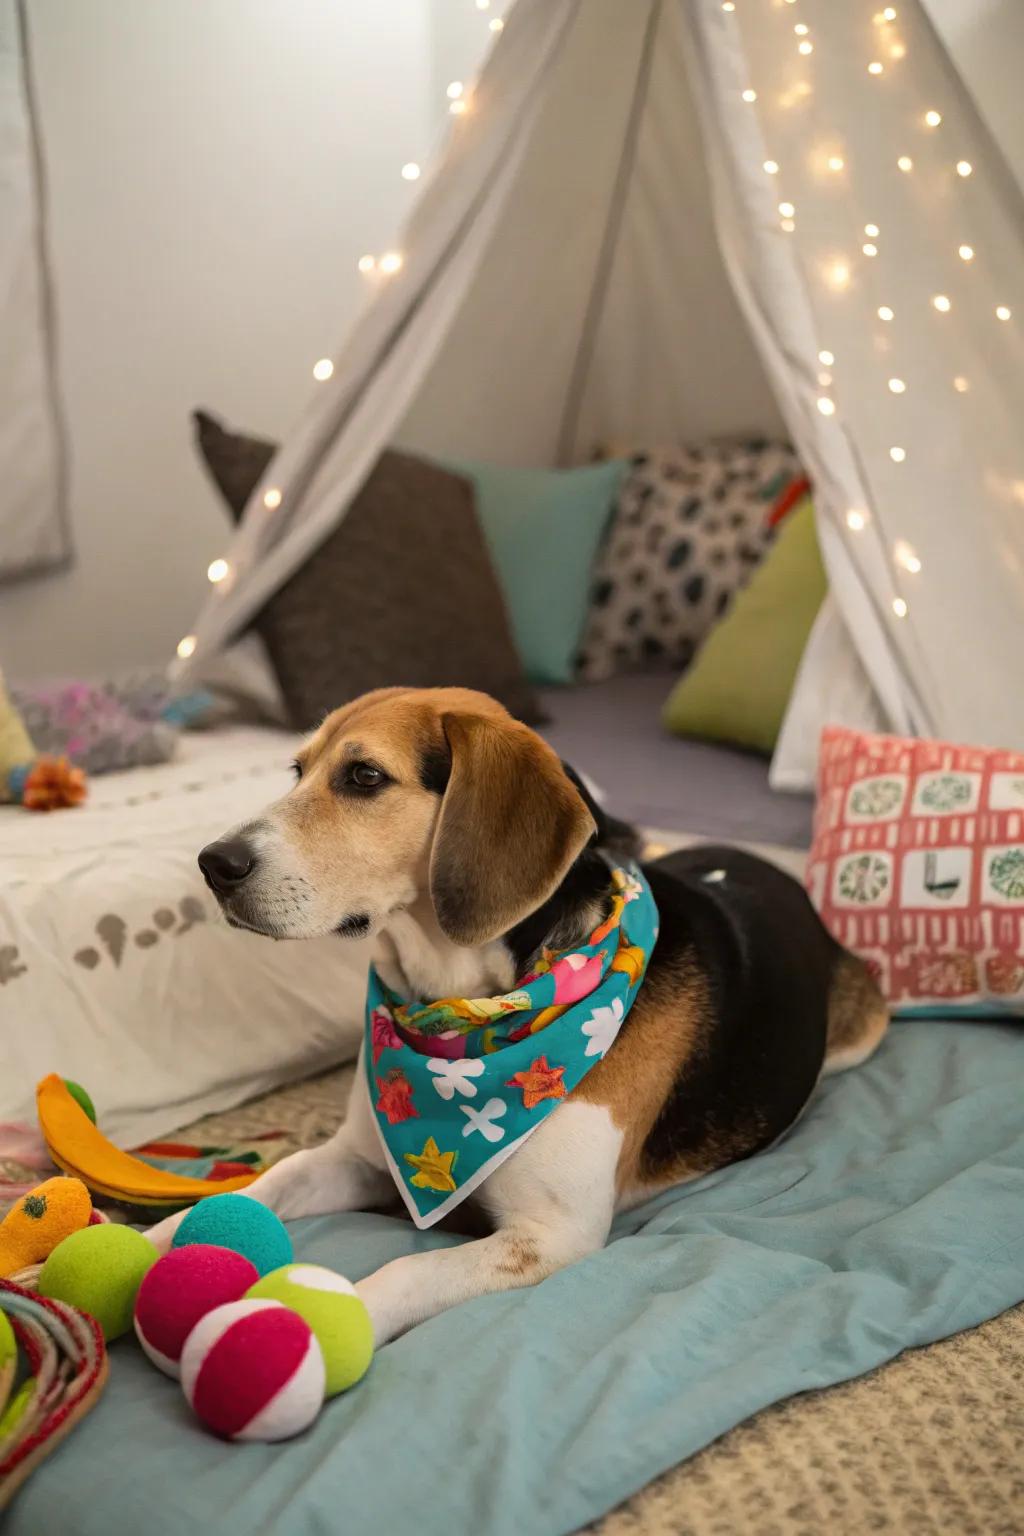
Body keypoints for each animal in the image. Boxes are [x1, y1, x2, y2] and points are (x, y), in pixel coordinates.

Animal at [145, 688, 890, 1345]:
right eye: (296, 771)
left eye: (364, 776)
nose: (214, 863)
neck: (467, 1018)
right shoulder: (355, 1158)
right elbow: (262, 1183)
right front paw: (145, 1243)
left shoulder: (551, 1238)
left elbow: (404, 1271)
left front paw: (311, 1326)